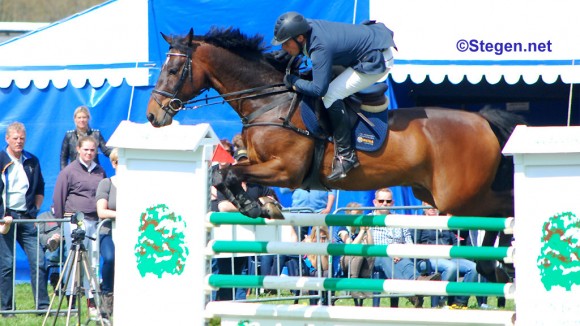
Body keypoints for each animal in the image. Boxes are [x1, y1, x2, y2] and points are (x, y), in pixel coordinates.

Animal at [146, 28, 524, 282]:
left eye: (174, 70)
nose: (153, 115)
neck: (270, 101)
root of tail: (482, 120)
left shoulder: (284, 170)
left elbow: (230, 174)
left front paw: (257, 206)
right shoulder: (258, 164)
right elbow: (222, 174)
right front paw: (259, 206)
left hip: (459, 196)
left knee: (505, 206)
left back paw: (503, 262)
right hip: (435, 194)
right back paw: (493, 265)